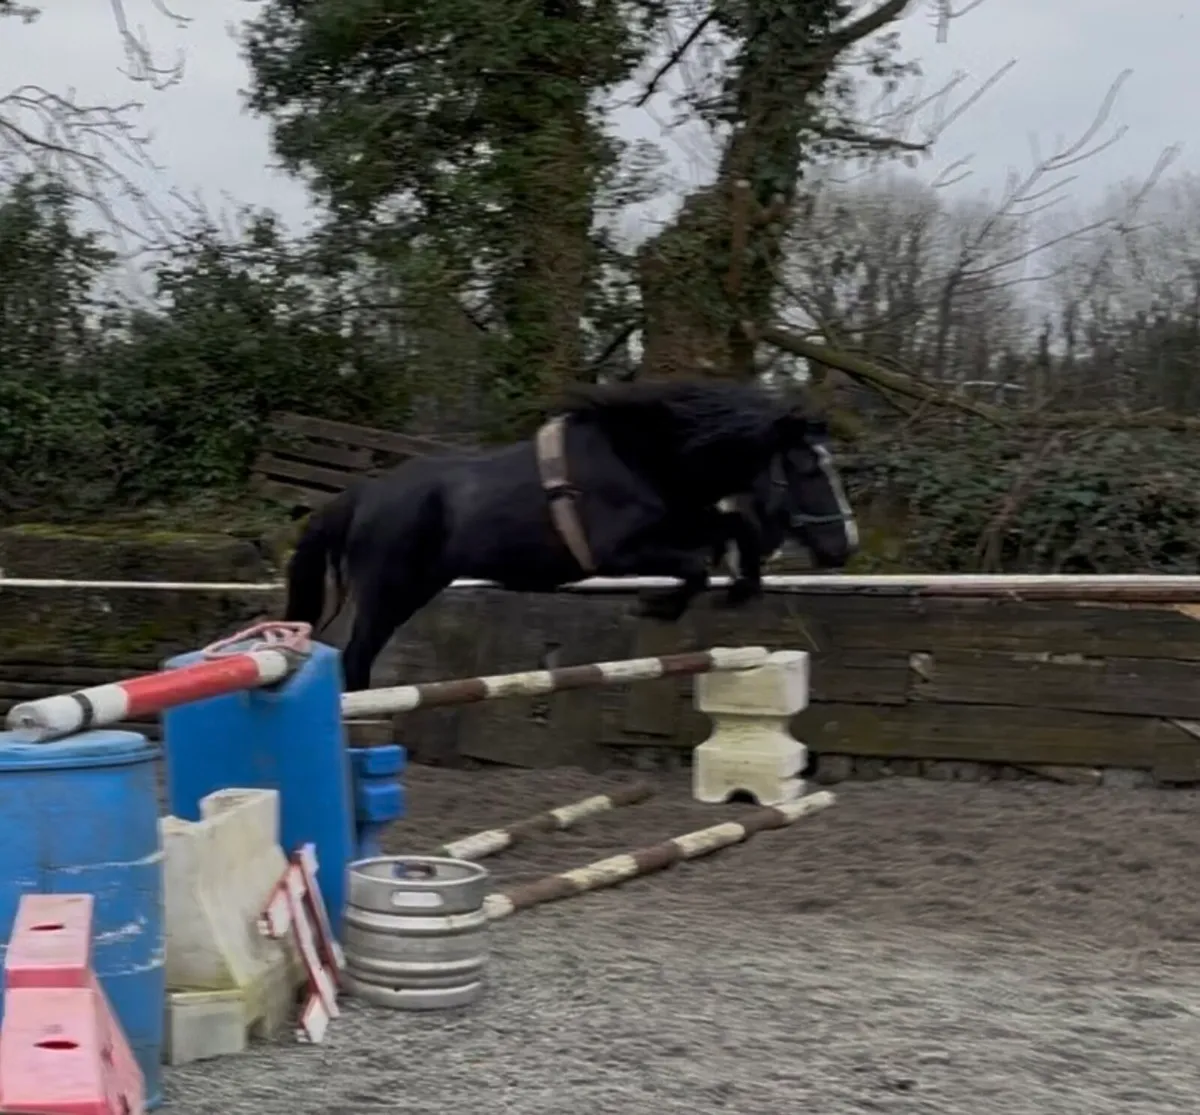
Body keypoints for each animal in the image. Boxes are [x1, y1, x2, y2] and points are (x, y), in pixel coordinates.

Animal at [284, 379, 858, 691]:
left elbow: (728, 532)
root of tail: (364, 495)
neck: (642, 459)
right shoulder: (617, 554)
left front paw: (740, 586)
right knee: (355, 660)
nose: (844, 546)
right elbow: (695, 568)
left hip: (413, 591)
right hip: (387, 591)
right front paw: (655, 608)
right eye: (807, 469)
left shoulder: (682, 521)